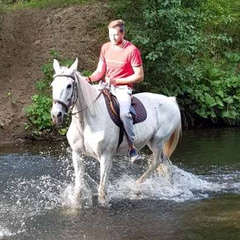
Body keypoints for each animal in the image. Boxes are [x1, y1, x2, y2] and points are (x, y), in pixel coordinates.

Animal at [51, 59, 182, 207]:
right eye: (53, 85)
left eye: (69, 86)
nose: (56, 115)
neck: (87, 121)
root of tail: (171, 100)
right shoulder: (77, 154)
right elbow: (79, 189)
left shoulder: (106, 156)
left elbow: (102, 190)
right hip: (154, 142)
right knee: (166, 164)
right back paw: (169, 189)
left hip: (158, 141)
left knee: (156, 162)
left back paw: (136, 186)